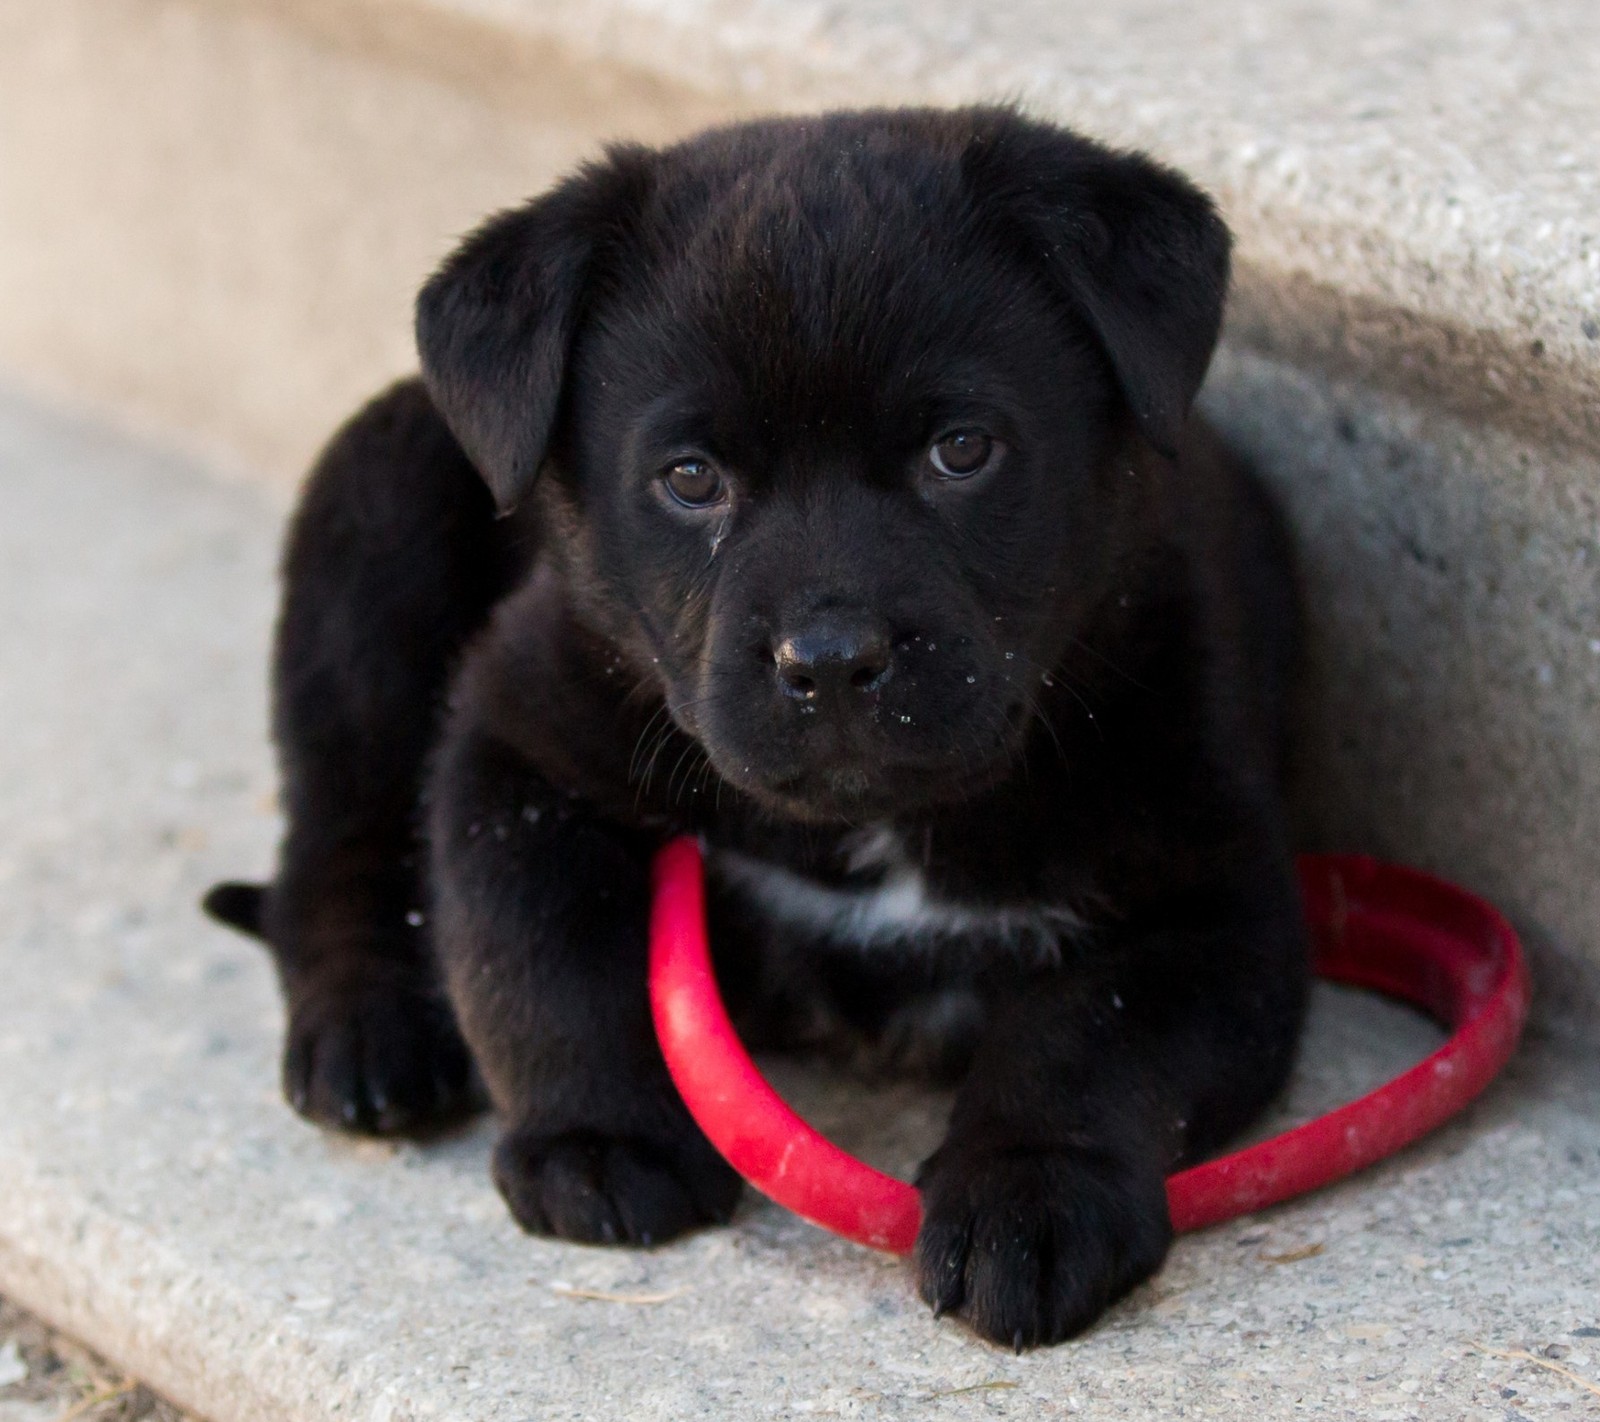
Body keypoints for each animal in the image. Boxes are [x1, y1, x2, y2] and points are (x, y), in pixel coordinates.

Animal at [206, 107, 1305, 1343]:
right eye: (691, 478)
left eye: (962, 450)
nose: (827, 659)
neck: (874, 830)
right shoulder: (516, 738)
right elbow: (536, 946)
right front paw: (602, 1137)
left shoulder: (1208, 906)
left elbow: (1089, 1042)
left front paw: (1031, 1193)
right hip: (374, 525)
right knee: (335, 833)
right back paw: (368, 1028)